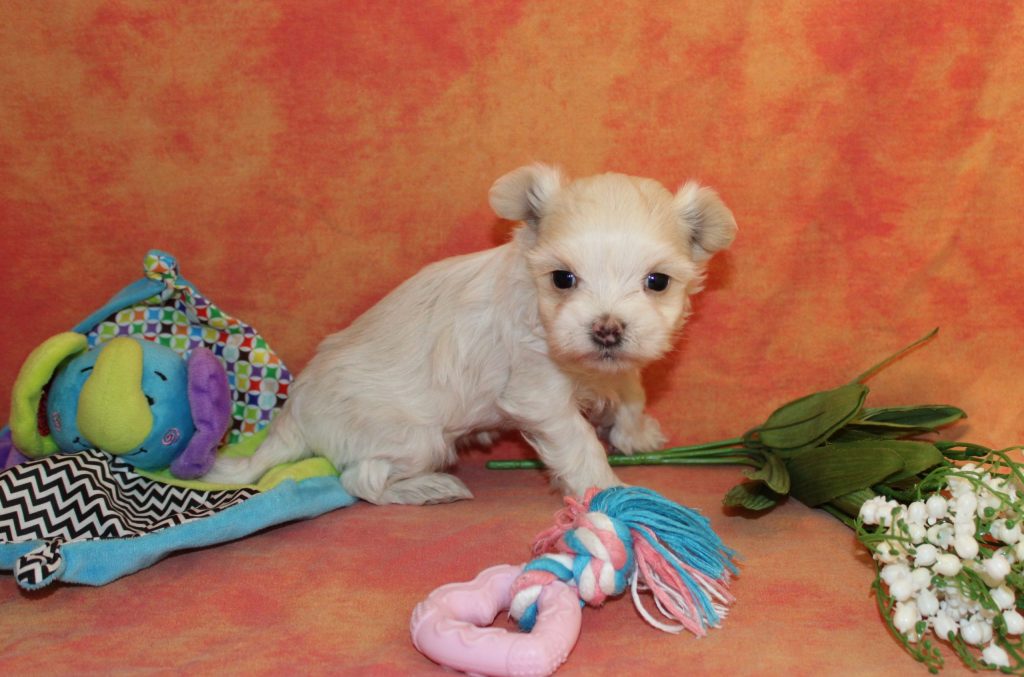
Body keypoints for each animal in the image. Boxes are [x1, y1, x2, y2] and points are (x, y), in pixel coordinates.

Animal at [202, 164, 737, 504]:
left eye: (657, 281)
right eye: (563, 279)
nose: (606, 329)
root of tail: (295, 412)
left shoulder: (610, 366)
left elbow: (629, 391)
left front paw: (636, 434)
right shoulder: (538, 394)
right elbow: (580, 441)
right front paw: (608, 492)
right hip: (414, 439)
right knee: (361, 480)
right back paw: (426, 489)